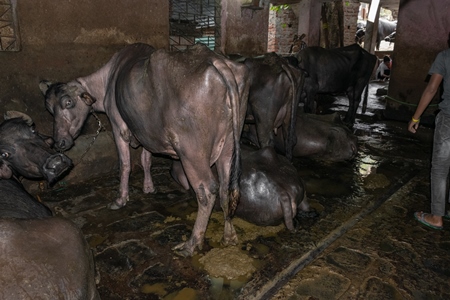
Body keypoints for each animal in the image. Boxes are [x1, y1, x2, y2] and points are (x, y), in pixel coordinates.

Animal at [39, 42, 250, 258]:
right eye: (50, 109)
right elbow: (146, 159)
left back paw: (192, 243)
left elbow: (125, 164)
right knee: (225, 186)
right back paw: (229, 235)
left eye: (68, 103)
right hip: (229, 144)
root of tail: (215, 59)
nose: (59, 142)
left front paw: (120, 199)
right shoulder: (145, 130)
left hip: (191, 151)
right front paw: (149, 187)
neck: (108, 79)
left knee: (207, 190)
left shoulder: (119, 126)